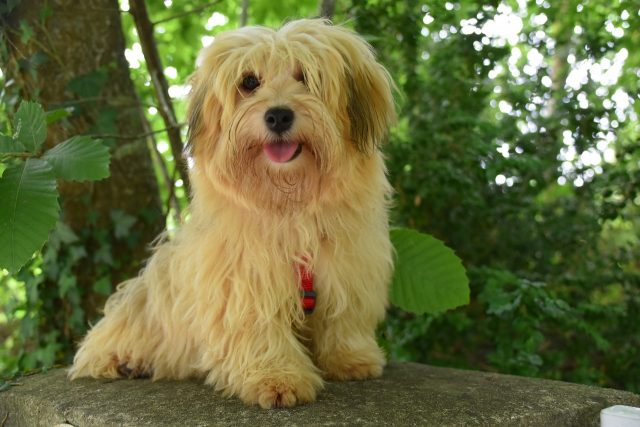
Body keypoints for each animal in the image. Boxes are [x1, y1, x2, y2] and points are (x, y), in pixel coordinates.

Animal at [72, 18, 398, 410]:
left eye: (305, 76)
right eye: (249, 82)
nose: (278, 115)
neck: (290, 207)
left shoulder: (349, 264)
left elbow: (344, 315)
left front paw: (350, 358)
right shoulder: (244, 277)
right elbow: (259, 326)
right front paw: (276, 377)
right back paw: (124, 361)